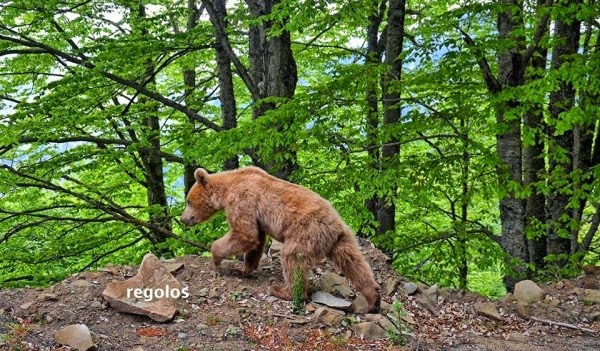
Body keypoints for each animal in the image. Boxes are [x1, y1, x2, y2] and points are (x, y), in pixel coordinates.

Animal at [180, 166, 382, 312]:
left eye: (188, 201)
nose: (183, 219)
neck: (226, 189)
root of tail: (335, 226)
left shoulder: (243, 201)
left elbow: (245, 233)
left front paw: (216, 258)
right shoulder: (257, 217)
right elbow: (256, 240)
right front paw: (244, 270)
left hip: (306, 232)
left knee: (293, 260)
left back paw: (284, 291)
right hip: (342, 239)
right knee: (353, 263)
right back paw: (373, 297)